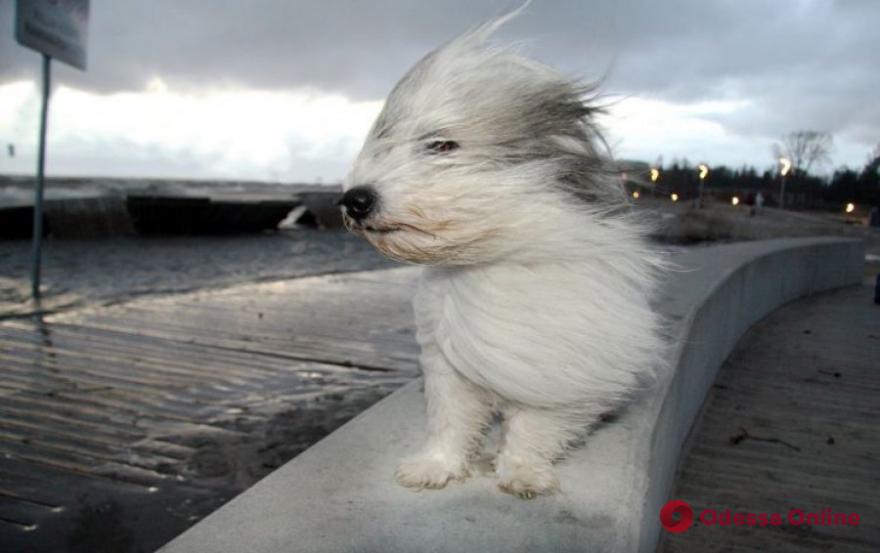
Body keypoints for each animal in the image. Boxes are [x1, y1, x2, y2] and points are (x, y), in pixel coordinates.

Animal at [340, 9, 664, 500]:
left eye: (441, 145)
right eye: (385, 142)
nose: (354, 200)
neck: (492, 256)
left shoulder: (554, 363)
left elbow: (534, 425)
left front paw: (522, 472)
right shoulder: (447, 363)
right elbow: (450, 421)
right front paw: (436, 466)